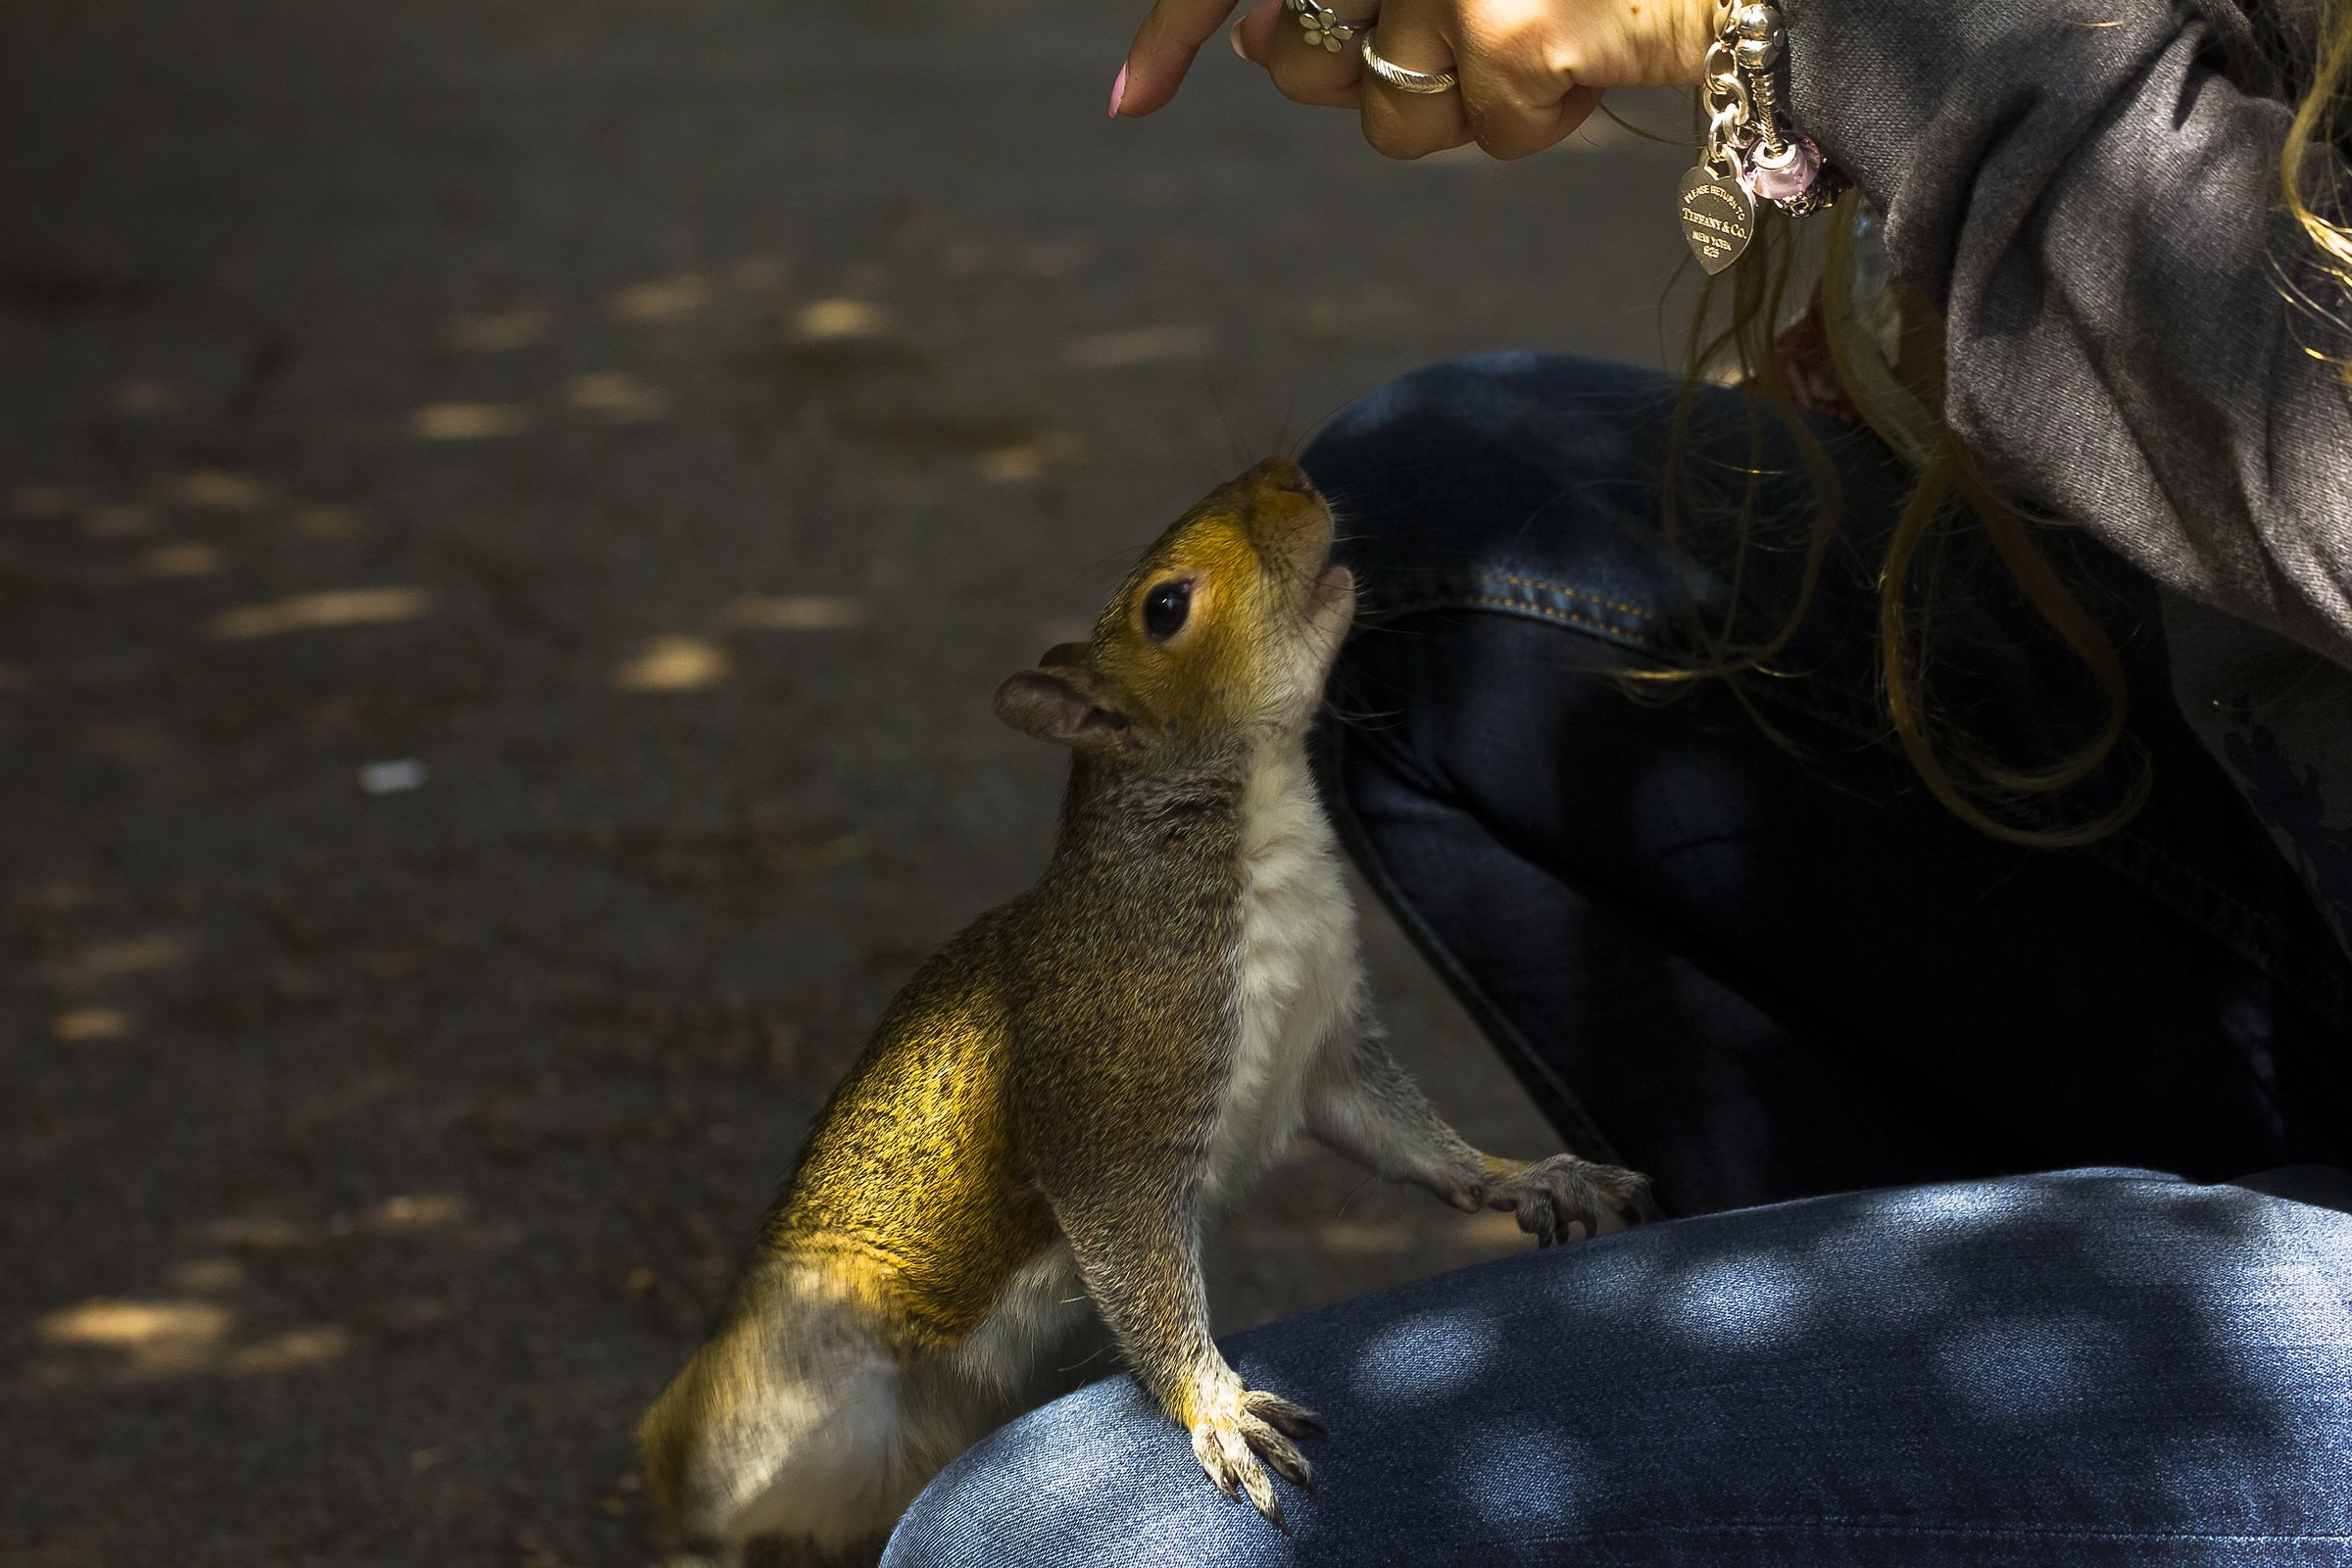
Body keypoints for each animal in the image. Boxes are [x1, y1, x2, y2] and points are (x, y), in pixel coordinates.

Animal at [637, 456, 1658, 1567]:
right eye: (1165, 607)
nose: (1292, 472)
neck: (1253, 824)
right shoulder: (1113, 1091)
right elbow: (1140, 1260)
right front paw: (1214, 1403)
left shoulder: (1328, 1048)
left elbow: (1405, 1134)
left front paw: (1521, 1175)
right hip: (784, 1380)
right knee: (684, 1468)